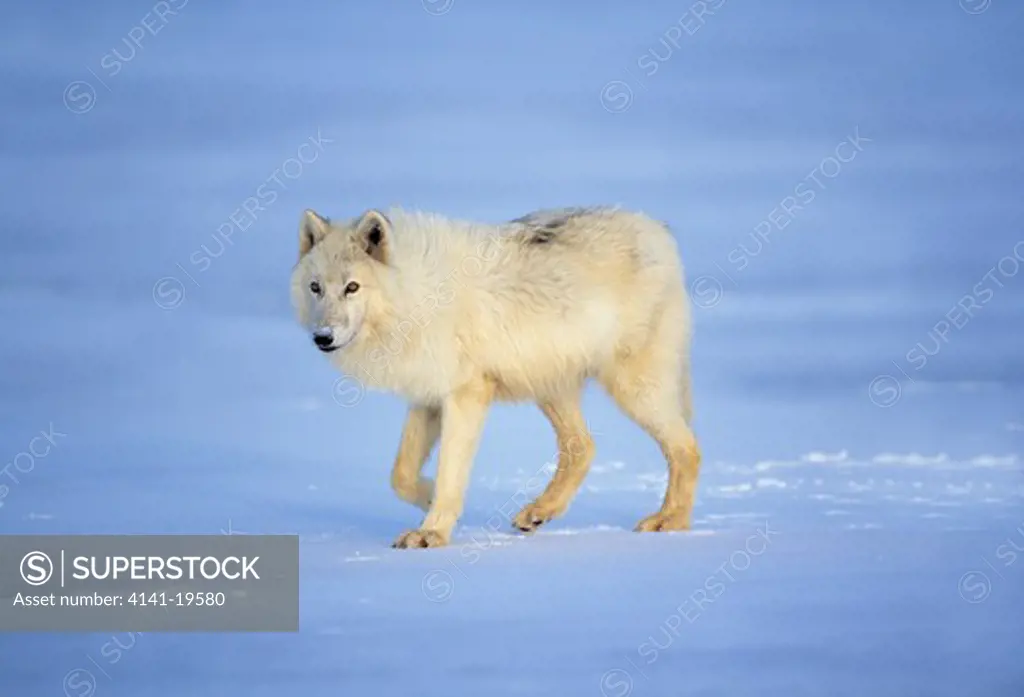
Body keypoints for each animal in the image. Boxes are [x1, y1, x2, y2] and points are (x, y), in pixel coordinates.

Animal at [292, 206, 700, 548]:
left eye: (352, 287)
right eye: (316, 288)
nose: (323, 337)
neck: (415, 297)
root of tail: (658, 230)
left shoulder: (465, 395)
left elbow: (450, 471)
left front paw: (432, 533)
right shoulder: (427, 398)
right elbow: (401, 475)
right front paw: (429, 498)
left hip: (632, 389)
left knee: (687, 448)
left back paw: (670, 523)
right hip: (550, 388)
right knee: (582, 447)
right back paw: (538, 512)